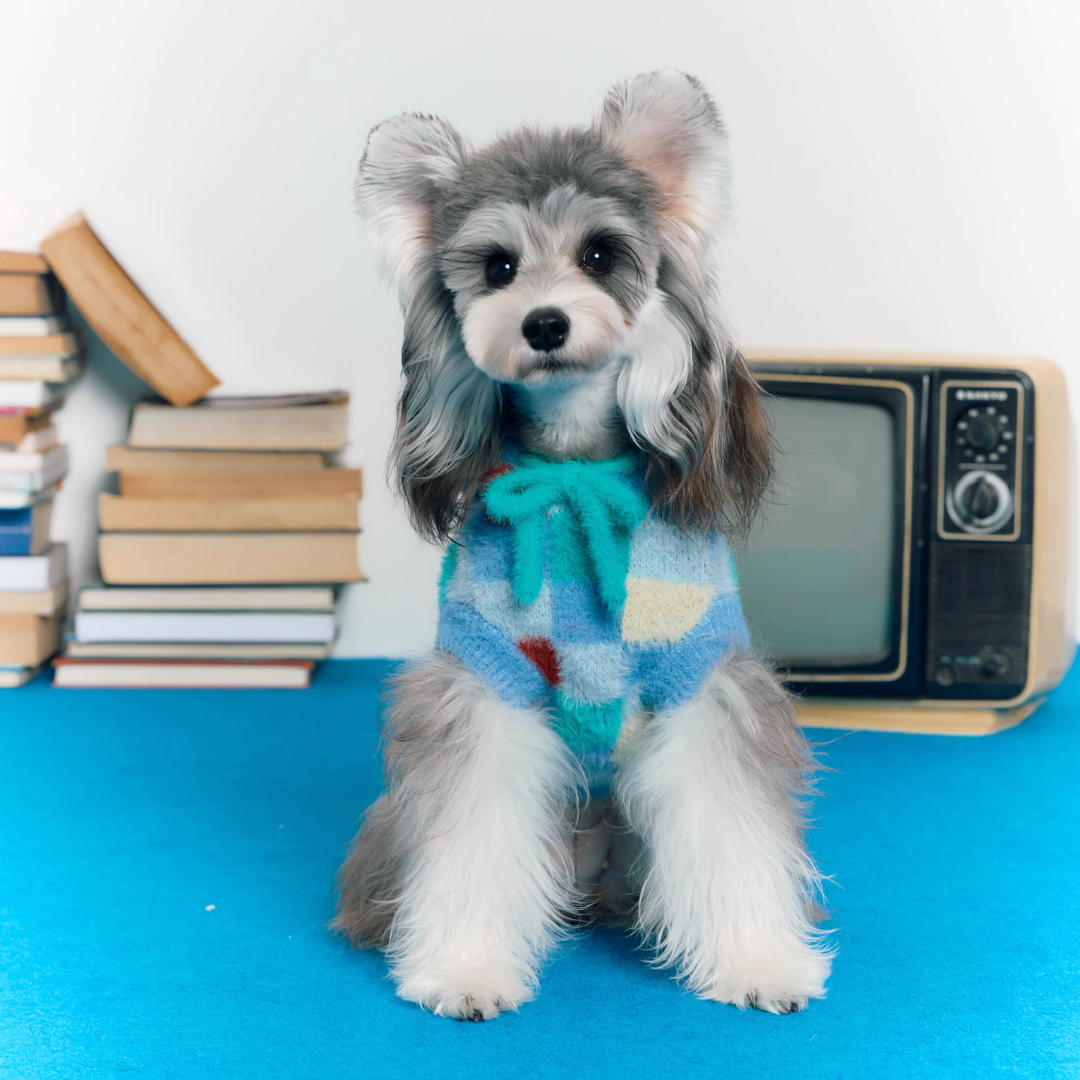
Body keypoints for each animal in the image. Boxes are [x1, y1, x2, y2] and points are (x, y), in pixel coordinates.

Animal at [332, 69, 829, 1019]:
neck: (573, 474)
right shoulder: (481, 687)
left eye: (599, 254)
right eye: (498, 266)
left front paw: (757, 961)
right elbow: (472, 837)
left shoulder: (706, 685)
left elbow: (732, 830)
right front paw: (467, 968)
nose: (545, 324)